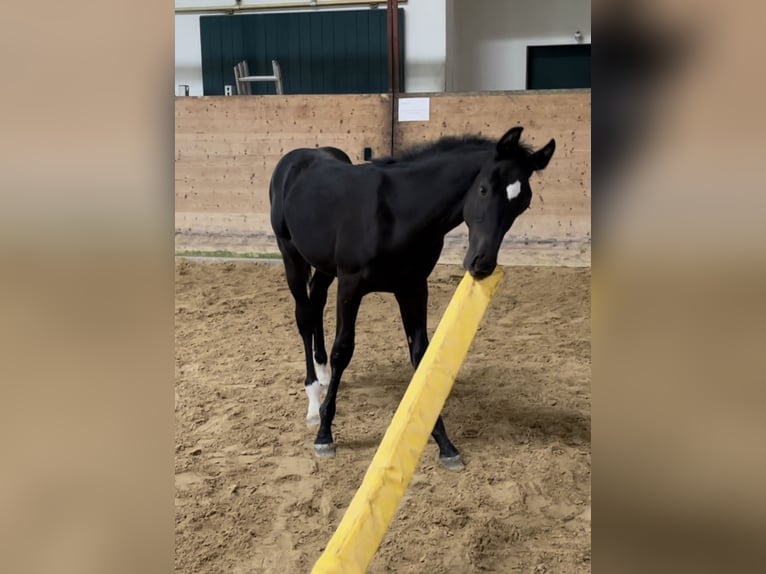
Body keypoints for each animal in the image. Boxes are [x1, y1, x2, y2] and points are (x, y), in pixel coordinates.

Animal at [272, 128, 560, 470]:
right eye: (483, 189)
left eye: (523, 203)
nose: (482, 264)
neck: (396, 213)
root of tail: (296, 158)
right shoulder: (351, 285)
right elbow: (343, 349)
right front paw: (325, 434)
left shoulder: (413, 287)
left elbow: (421, 356)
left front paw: (444, 443)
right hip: (292, 256)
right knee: (304, 316)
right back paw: (314, 402)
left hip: (325, 266)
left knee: (316, 302)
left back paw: (323, 373)